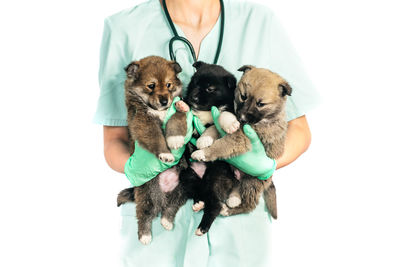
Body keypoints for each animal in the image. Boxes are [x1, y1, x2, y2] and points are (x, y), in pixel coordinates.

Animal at [116, 55, 190, 246]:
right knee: (144, 214)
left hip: (183, 188)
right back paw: (145, 236)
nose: (165, 101)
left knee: (171, 207)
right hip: (147, 193)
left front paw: (175, 139)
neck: (158, 111)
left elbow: (177, 118)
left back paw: (167, 221)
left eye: (169, 85)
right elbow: (156, 137)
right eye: (151, 85)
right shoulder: (143, 121)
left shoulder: (176, 111)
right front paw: (165, 153)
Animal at [177, 61, 242, 237]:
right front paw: (183, 104)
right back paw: (199, 203)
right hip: (187, 175)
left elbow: (218, 121)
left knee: (215, 204)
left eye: (210, 89)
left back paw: (202, 227)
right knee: (199, 191)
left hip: (216, 177)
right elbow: (189, 114)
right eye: (194, 82)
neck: (206, 109)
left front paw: (205, 139)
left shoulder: (228, 110)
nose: (193, 97)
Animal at [191, 65, 290, 220]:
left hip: (252, 182)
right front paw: (204, 139)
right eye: (243, 96)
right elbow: (215, 127)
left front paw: (202, 153)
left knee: (250, 204)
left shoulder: (239, 139)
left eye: (261, 104)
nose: (241, 118)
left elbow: (221, 145)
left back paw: (228, 209)